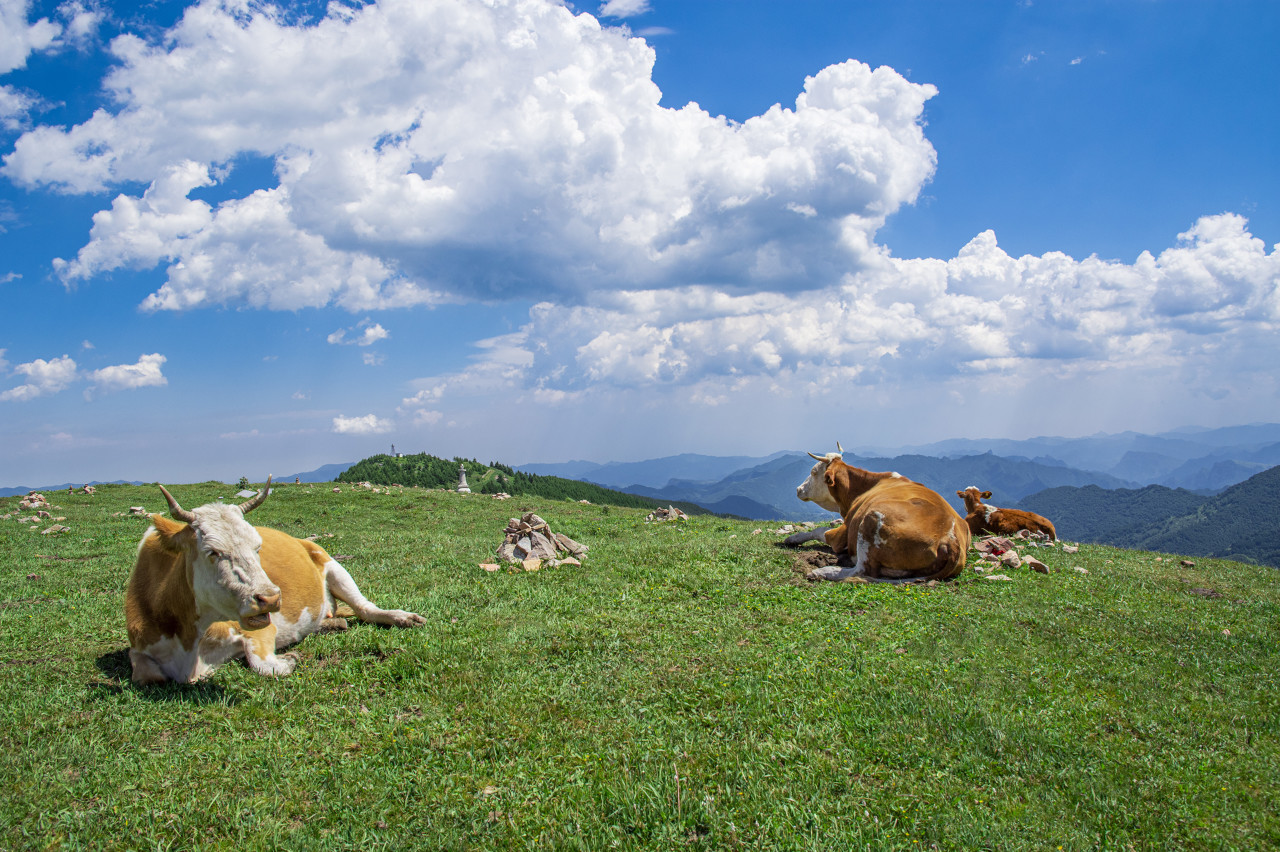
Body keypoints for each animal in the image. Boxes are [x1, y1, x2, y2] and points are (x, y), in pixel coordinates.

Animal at [126, 478, 424, 685]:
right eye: (212, 552)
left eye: (257, 547)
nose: (270, 599)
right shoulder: (139, 646)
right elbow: (146, 675)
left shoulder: (259, 629)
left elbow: (263, 664)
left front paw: (289, 659)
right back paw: (331, 624)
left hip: (333, 565)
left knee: (365, 608)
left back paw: (403, 617)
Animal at [788, 447, 967, 580]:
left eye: (813, 472)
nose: (798, 489)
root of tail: (949, 538)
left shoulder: (842, 534)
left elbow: (819, 531)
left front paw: (793, 538)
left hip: (871, 519)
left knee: (862, 569)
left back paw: (822, 571)